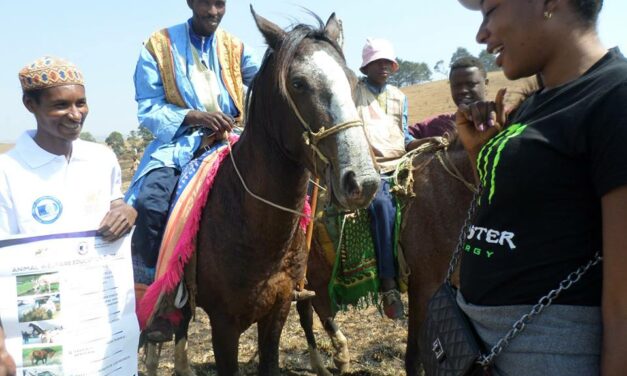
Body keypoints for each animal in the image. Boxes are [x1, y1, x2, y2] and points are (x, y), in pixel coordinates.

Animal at [296, 134, 474, 374]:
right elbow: (414, 357)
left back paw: (337, 356)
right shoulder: (424, 288)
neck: (448, 191)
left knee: (314, 305)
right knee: (308, 310)